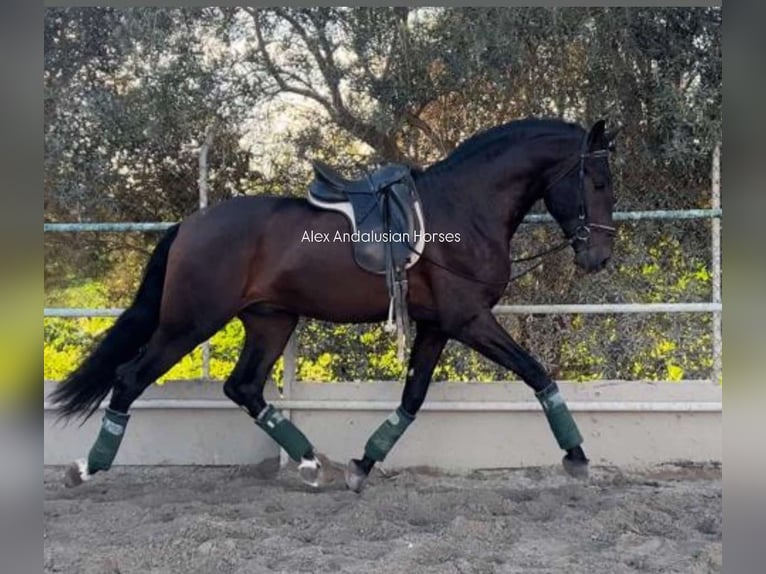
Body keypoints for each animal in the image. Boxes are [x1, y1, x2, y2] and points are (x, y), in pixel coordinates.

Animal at [51, 118, 616, 496]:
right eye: (597, 182)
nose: (600, 256)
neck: (463, 208)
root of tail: (190, 225)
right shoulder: (470, 320)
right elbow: (537, 373)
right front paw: (576, 456)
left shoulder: (437, 326)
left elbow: (412, 398)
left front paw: (362, 465)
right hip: (189, 324)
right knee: (130, 379)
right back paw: (86, 468)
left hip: (271, 322)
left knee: (244, 387)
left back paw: (308, 464)